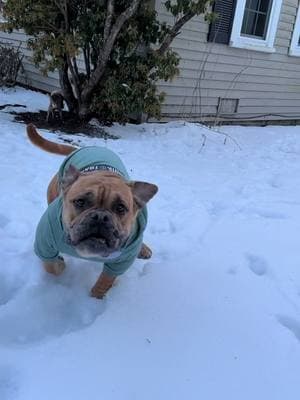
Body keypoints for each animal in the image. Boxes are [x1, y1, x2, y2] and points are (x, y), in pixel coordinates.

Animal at [27, 124, 158, 296]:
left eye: (120, 208)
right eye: (80, 202)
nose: (101, 217)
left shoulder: (120, 262)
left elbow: (104, 283)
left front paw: (95, 298)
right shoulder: (45, 243)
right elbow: (52, 267)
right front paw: (60, 264)